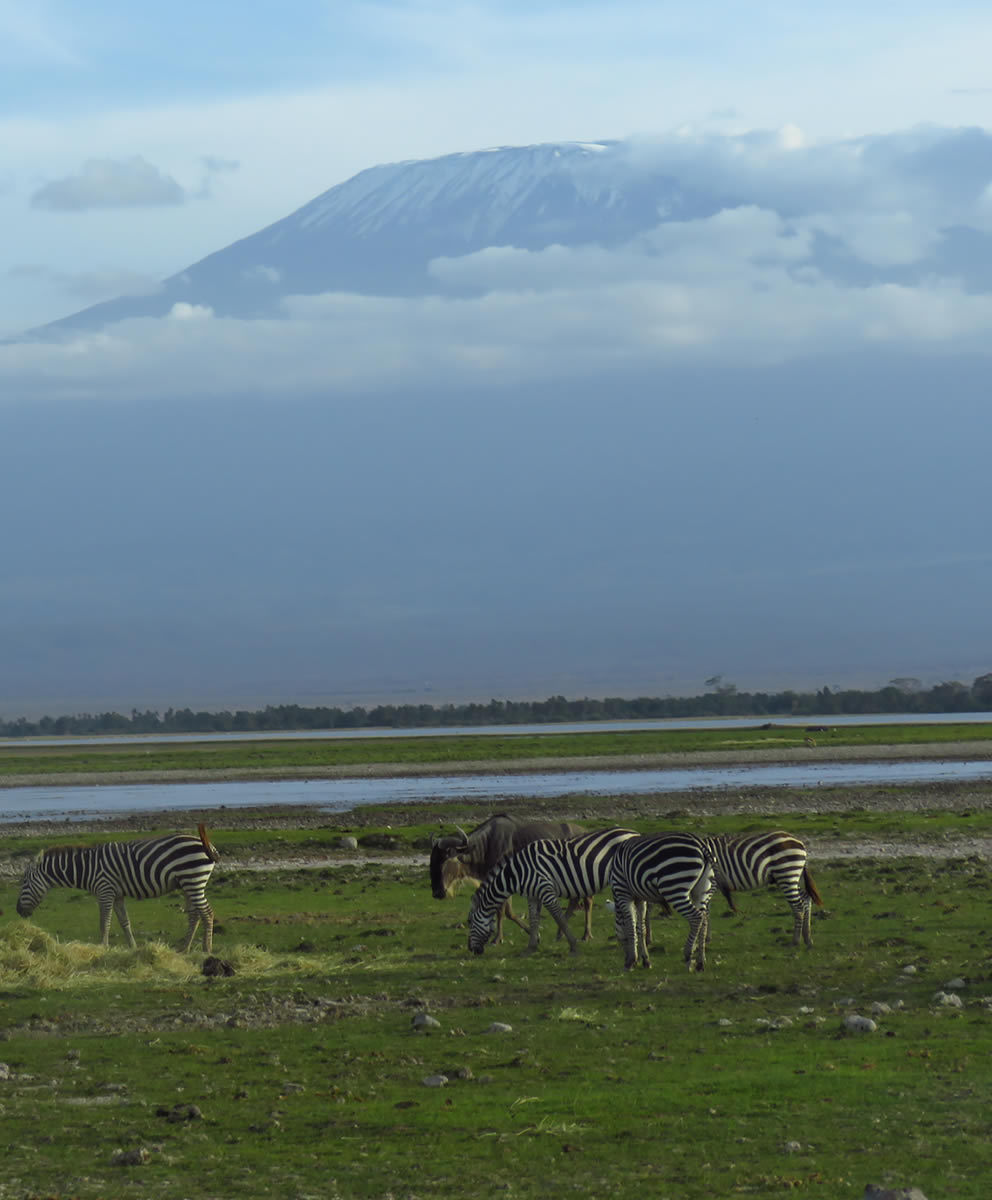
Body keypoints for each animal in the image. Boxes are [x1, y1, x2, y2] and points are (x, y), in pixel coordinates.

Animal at [15, 820, 220, 950]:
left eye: (24, 882)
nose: (18, 911)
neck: (88, 868)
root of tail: (206, 843)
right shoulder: (118, 894)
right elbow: (124, 922)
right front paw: (133, 947)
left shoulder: (105, 890)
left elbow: (104, 922)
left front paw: (103, 947)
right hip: (187, 884)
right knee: (194, 915)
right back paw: (184, 948)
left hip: (193, 880)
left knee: (207, 913)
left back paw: (206, 949)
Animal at [467, 825, 638, 955]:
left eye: (469, 921)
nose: (470, 949)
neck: (518, 872)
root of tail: (634, 832)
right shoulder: (533, 895)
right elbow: (534, 919)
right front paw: (531, 947)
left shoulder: (545, 890)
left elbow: (558, 917)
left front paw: (573, 945)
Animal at [614, 835, 714, 974]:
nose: (625, 960)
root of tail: (701, 844)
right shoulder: (640, 898)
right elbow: (641, 928)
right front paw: (645, 960)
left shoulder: (623, 892)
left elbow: (630, 926)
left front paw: (631, 962)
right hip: (701, 891)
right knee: (704, 919)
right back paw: (700, 963)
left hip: (674, 886)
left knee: (696, 917)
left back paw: (688, 956)